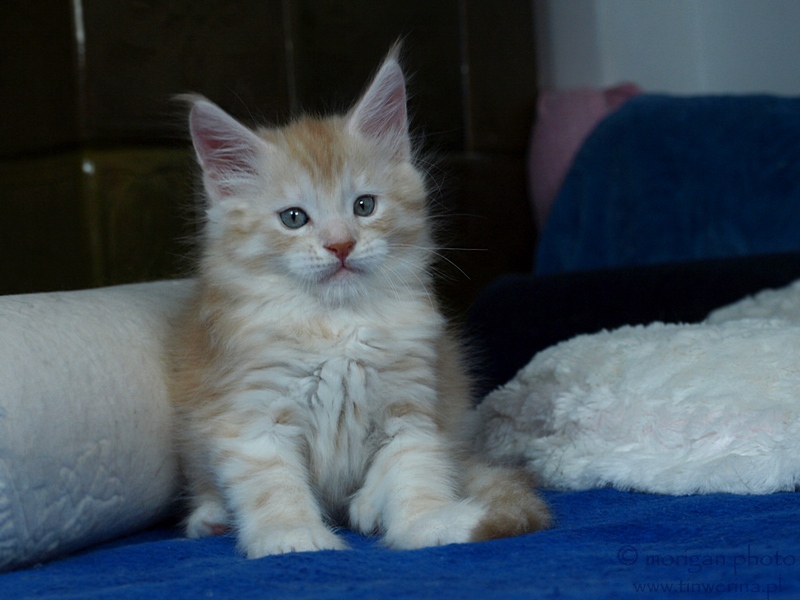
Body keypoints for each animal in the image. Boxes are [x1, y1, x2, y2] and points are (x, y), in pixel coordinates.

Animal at [169, 48, 552, 556]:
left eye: (364, 206)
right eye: (294, 218)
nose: (341, 245)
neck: (336, 325)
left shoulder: (411, 409)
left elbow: (416, 471)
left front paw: (428, 523)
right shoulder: (252, 416)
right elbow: (273, 487)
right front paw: (293, 538)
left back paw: (368, 507)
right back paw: (211, 516)